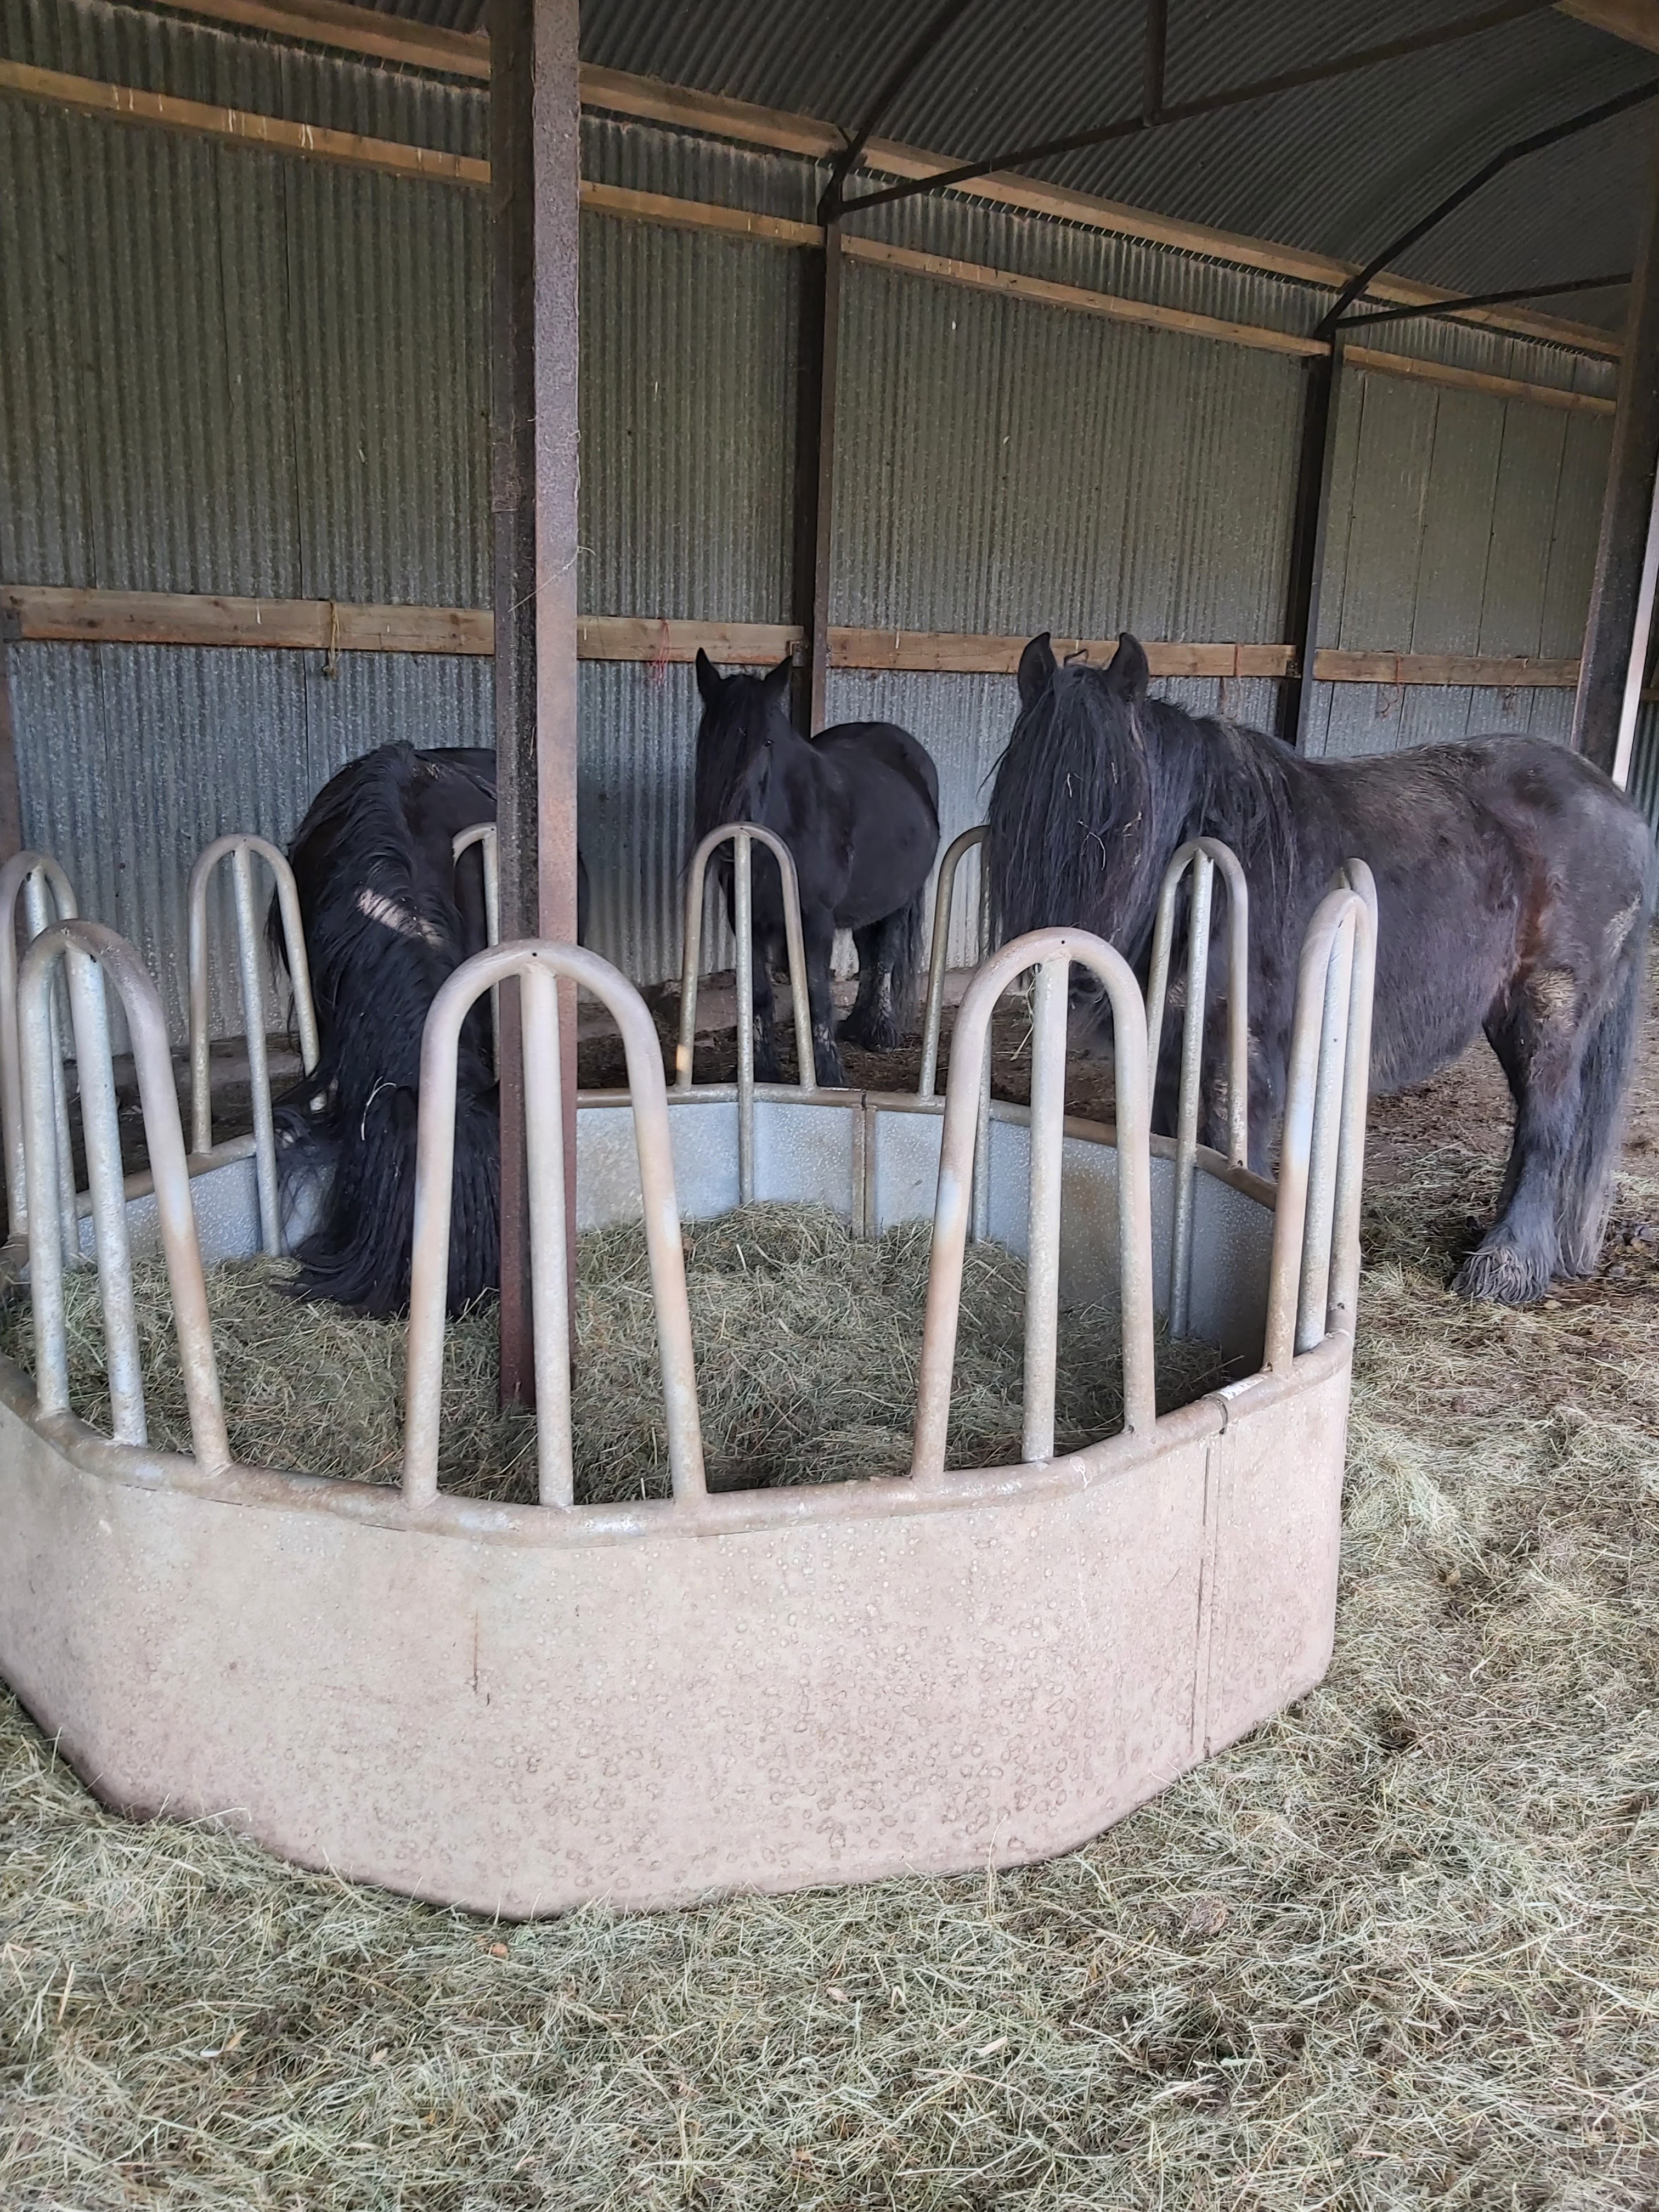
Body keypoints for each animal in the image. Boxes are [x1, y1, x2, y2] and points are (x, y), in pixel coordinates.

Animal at [695, 646, 942, 1088]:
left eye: (768, 742)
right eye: (707, 740)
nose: (728, 839)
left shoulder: (816, 920)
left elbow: (815, 993)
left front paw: (828, 1075)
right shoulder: (747, 918)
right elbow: (759, 995)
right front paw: (764, 1072)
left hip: (900, 900)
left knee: (886, 956)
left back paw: (879, 1032)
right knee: (869, 955)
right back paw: (857, 1025)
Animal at [995, 633, 1654, 1300]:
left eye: (1127, 823)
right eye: (1016, 814)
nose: (1073, 977)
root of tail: (1616, 801)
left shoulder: (1241, 1051)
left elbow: (1231, 1153)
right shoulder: (1171, 1051)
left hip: (1550, 1004)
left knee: (1548, 1124)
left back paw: (1506, 1264)